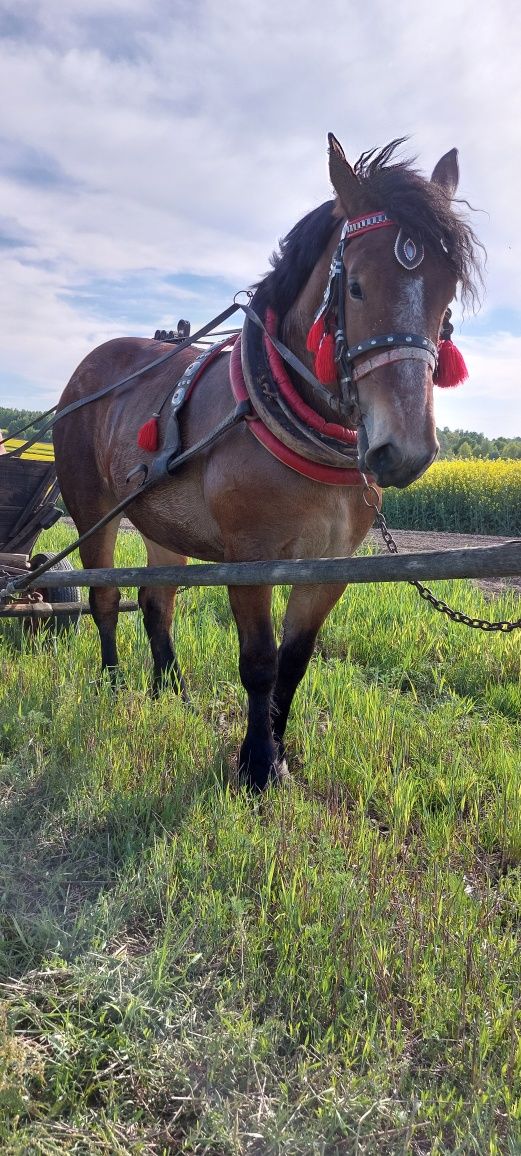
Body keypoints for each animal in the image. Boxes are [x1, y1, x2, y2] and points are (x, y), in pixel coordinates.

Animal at [53, 131, 480, 790]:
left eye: (445, 296)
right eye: (355, 286)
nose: (403, 448)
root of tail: (87, 370)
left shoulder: (330, 565)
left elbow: (294, 662)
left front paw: (277, 751)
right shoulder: (248, 557)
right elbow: (258, 661)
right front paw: (255, 764)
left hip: (159, 520)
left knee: (155, 601)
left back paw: (169, 690)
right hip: (91, 508)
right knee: (103, 599)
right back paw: (112, 684)